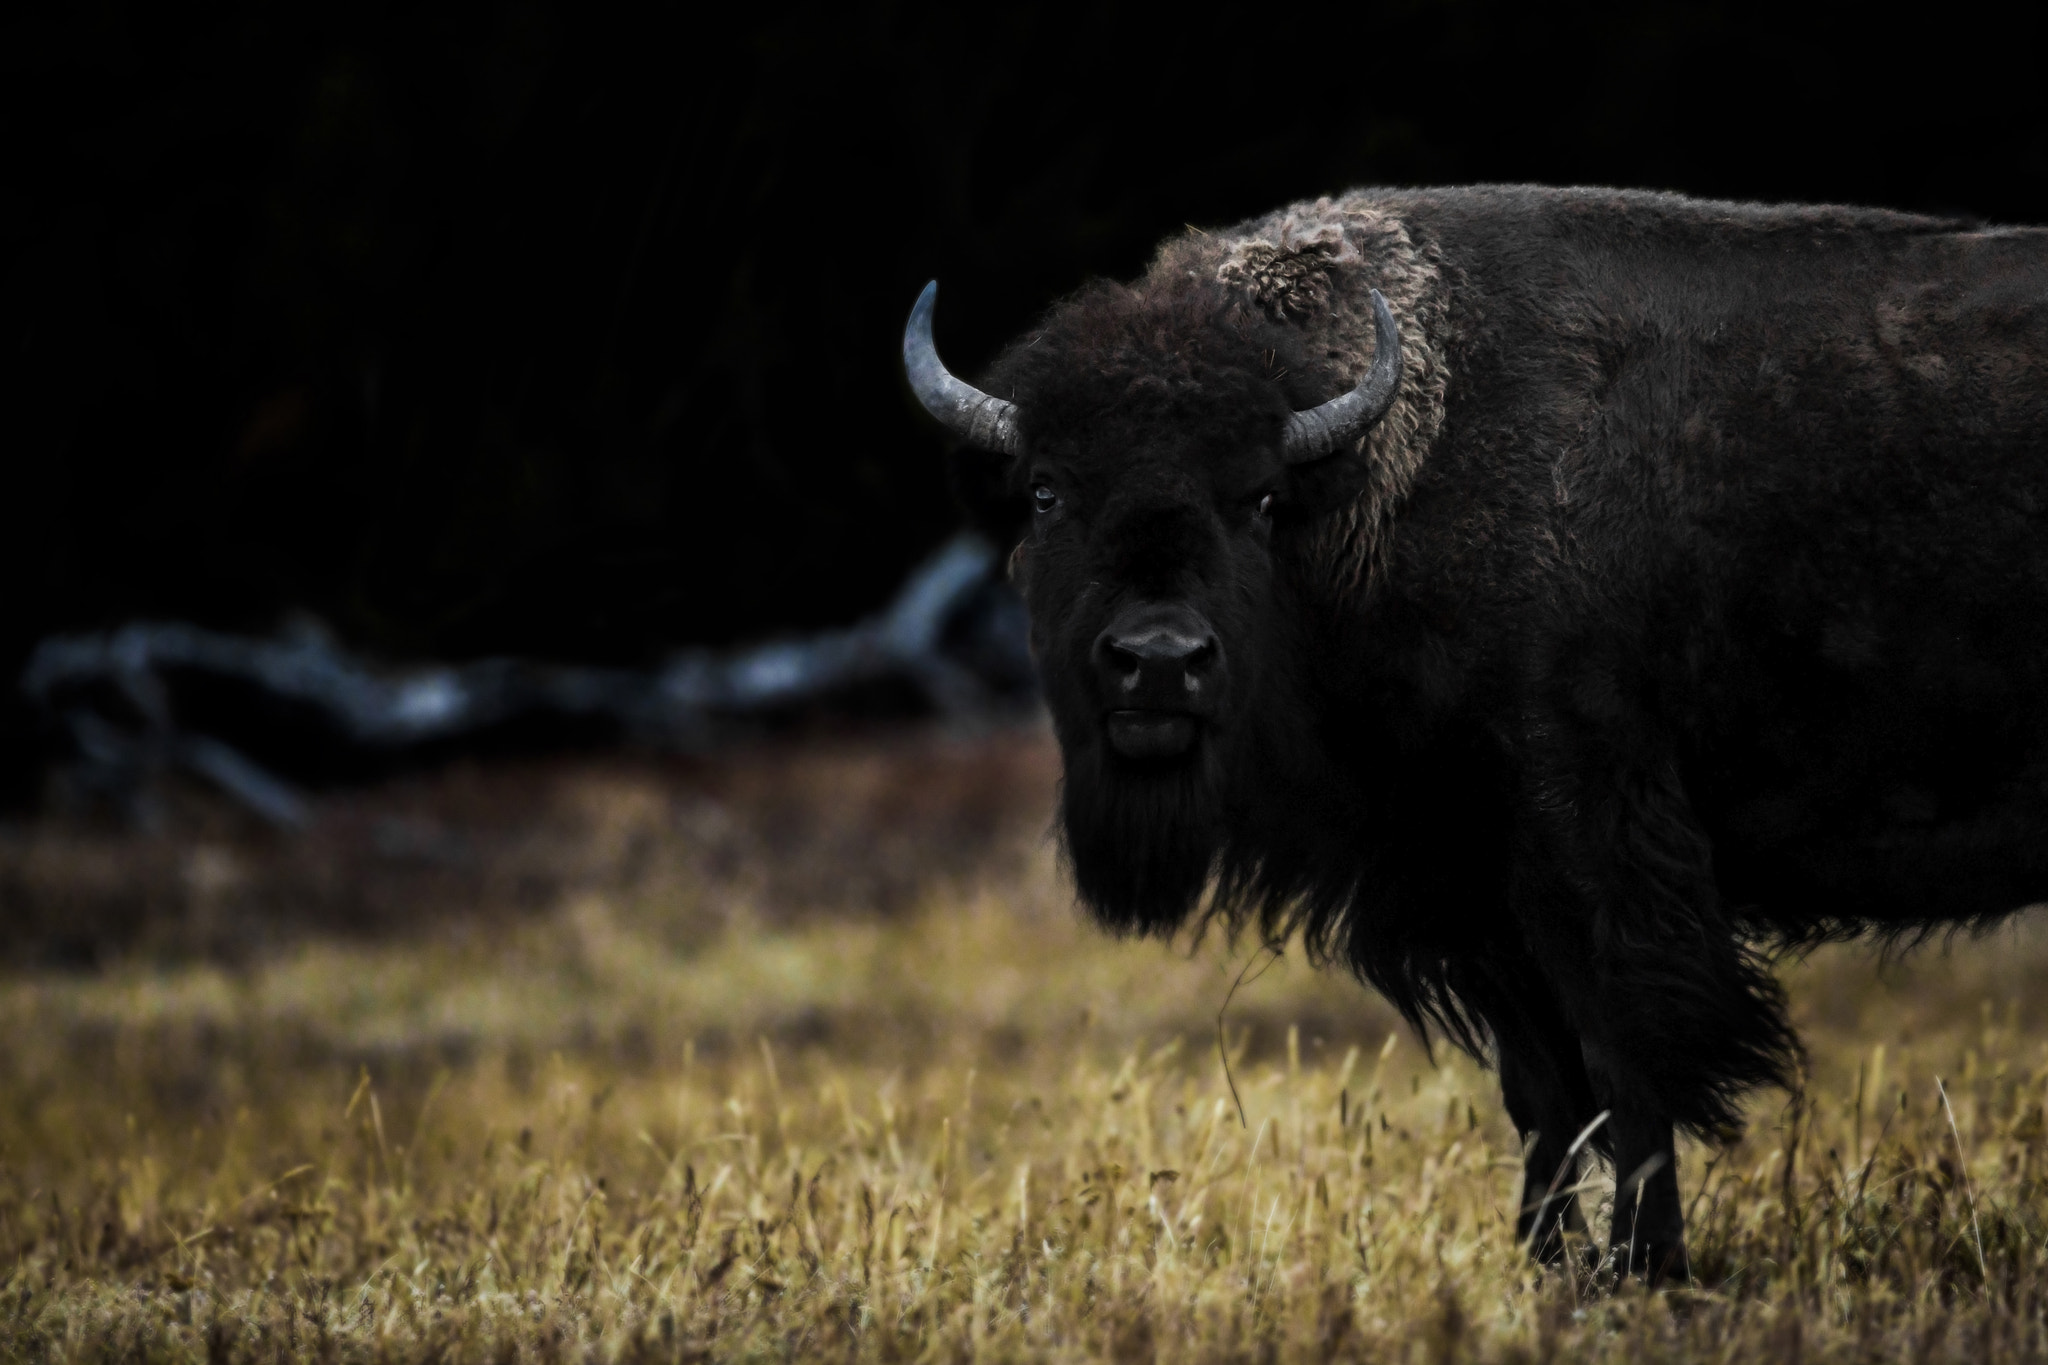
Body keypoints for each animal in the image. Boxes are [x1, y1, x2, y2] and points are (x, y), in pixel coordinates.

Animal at [905, 184, 2048, 1285]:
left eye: (1259, 497)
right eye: (1046, 491)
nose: (1157, 659)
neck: (1383, 480)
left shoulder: (1592, 852)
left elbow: (1627, 1066)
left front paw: (1641, 1269)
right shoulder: (1472, 895)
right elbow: (1544, 1094)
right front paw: (1545, 1265)